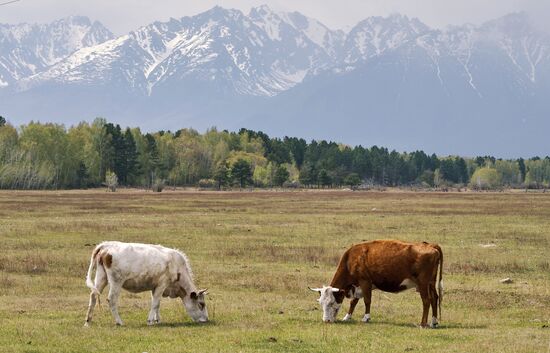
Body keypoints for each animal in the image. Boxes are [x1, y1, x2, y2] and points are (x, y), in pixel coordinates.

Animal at [310, 239, 444, 328]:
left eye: (331, 302)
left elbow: (367, 301)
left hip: (423, 284)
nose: (326, 320)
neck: (351, 259)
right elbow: (354, 302)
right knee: (434, 299)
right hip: (431, 283)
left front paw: (366, 318)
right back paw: (433, 322)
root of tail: (431, 245)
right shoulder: (358, 286)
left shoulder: (365, 282)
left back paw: (423, 323)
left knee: (426, 301)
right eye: (321, 303)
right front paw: (347, 317)